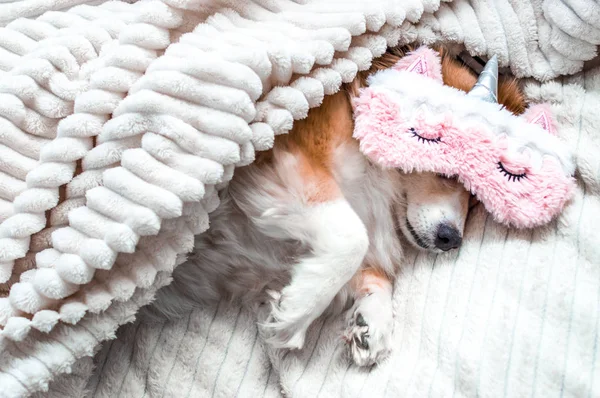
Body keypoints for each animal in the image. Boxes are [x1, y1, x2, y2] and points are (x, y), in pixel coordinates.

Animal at [150, 46, 524, 366]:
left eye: (478, 196)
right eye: (447, 169)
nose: (453, 240)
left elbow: (369, 274)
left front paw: (372, 322)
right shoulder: (288, 164)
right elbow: (352, 238)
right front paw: (297, 310)